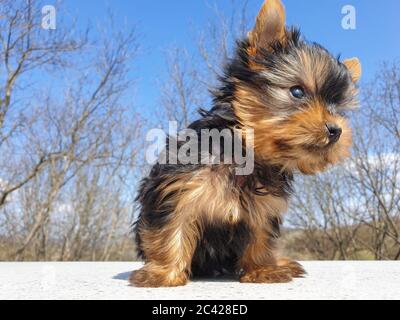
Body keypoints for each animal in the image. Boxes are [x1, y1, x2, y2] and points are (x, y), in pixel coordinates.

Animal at [130, 0, 360, 286]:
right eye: (297, 91)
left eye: (338, 108)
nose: (336, 130)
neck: (245, 153)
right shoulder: (178, 188)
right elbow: (170, 230)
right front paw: (162, 272)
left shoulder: (264, 207)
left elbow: (260, 238)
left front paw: (263, 269)